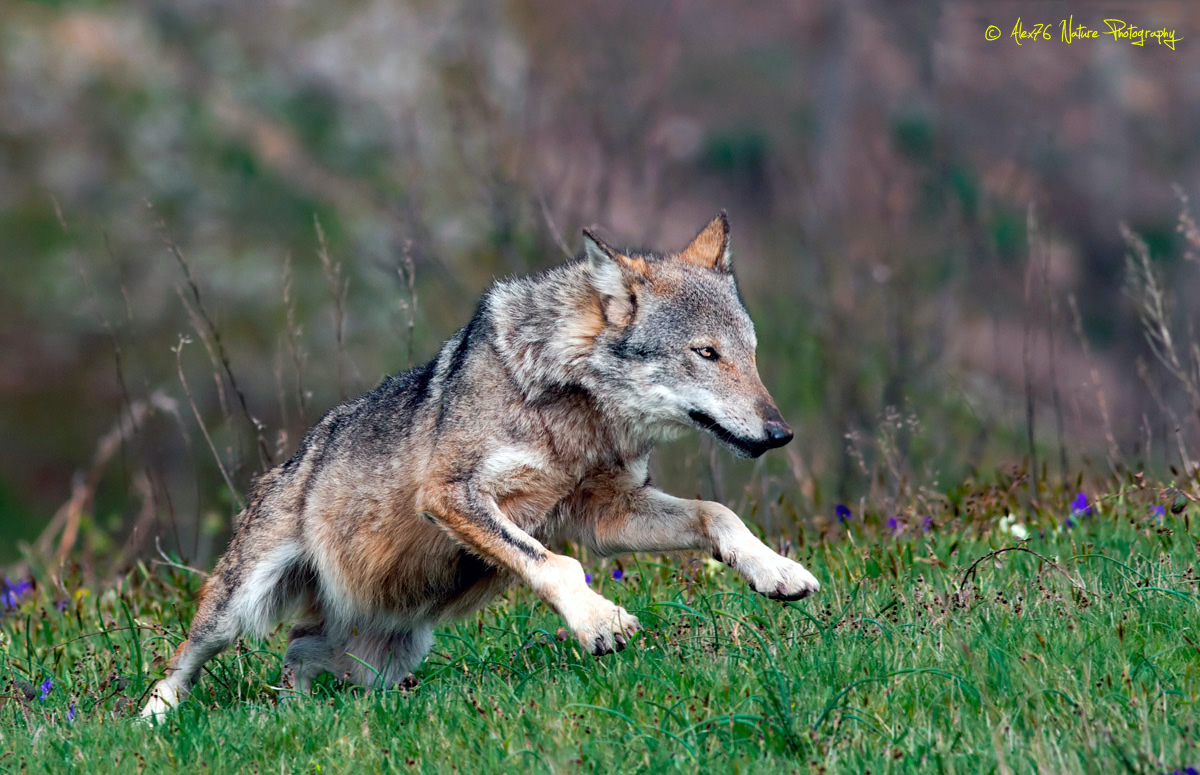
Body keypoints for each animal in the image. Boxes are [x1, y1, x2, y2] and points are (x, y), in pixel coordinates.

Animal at [141, 211, 819, 719]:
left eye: (750, 354)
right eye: (705, 353)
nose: (781, 433)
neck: (571, 414)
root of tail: (291, 460)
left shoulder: (608, 514)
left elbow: (718, 514)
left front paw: (776, 570)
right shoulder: (452, 497)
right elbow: (552, 564)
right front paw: (597, 621)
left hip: (383, 651)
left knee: (301, 664)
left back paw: (304, 713)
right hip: (239, 607)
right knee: (180, 663)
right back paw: (153, 723)